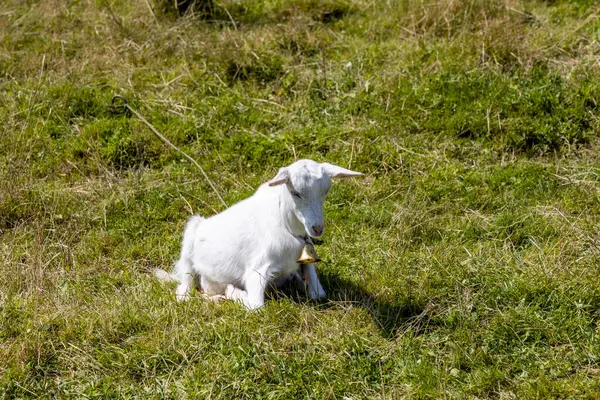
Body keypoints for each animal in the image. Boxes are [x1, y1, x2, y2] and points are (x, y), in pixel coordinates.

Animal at [155, 159, 360, 310]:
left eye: (326, 191)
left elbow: (319, 294)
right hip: (189, 243)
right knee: (184, 293)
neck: (289, 229)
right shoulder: (257, 271)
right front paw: (231, 290)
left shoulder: (307, 265)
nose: (317, 228)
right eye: (295, 192)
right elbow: (256, 306)